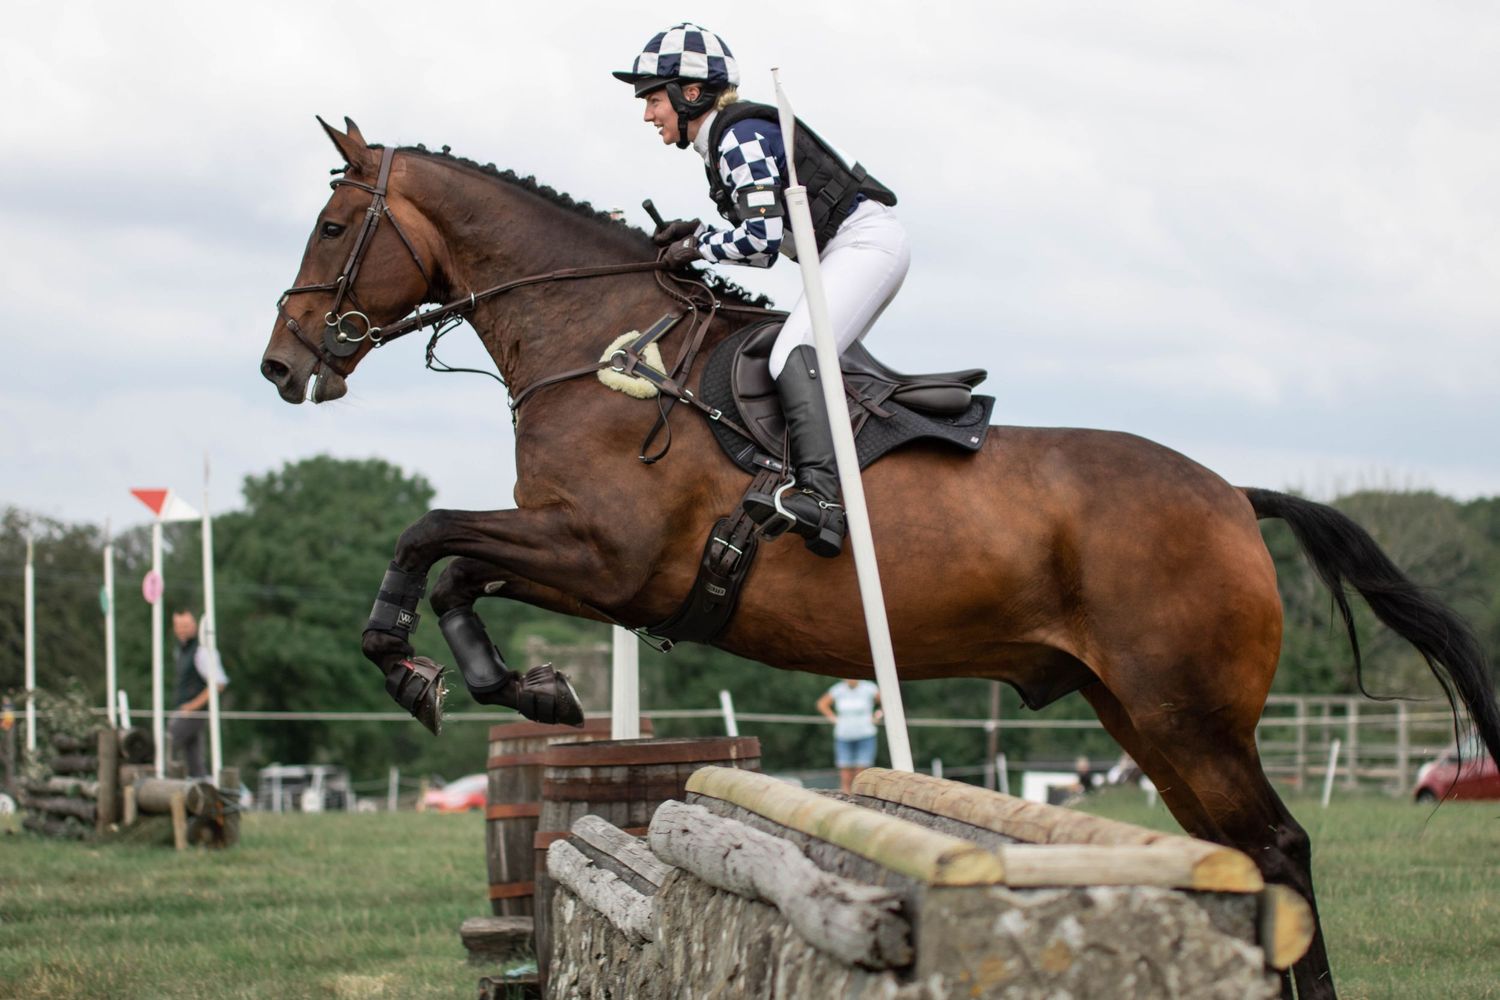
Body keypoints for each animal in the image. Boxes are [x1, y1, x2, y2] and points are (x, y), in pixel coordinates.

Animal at [261, 118, 1500, 999]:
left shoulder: (608, 559)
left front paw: (418, 665)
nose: (283, 363)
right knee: (1237, 852)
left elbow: (428, 534)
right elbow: (455, 566)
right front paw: (517, 684)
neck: (606, 350)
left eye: (331, 227)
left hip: (1187, 712)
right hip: (1145, 716)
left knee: (1279, 846)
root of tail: (1235, 497)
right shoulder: (580, 557)